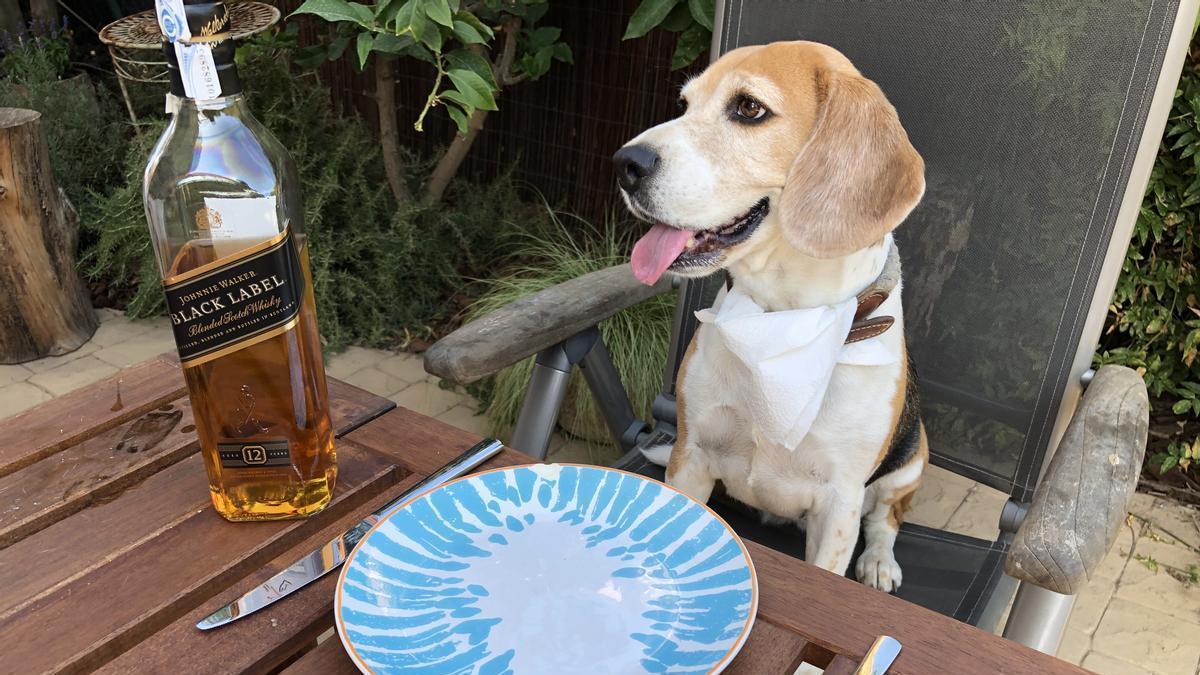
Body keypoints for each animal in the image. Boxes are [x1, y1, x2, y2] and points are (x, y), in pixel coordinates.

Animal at [614, 40, 921, 588]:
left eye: (749, 108)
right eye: (685, 105)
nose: (625, 162)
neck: (780, 323)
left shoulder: (838, 506)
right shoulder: (692, 456)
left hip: (911, 460)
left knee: (887, 517)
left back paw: (880, 562)